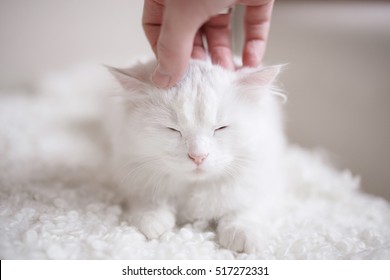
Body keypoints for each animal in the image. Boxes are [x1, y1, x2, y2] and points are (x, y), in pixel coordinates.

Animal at [105, 58, 284, 253]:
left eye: (221, 128)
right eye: (172, 129)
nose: (198, 156)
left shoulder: (265, 183)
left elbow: (245, 208)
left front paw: (242, 233)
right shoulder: (134, 174)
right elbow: (149, 202)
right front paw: (152, 220)